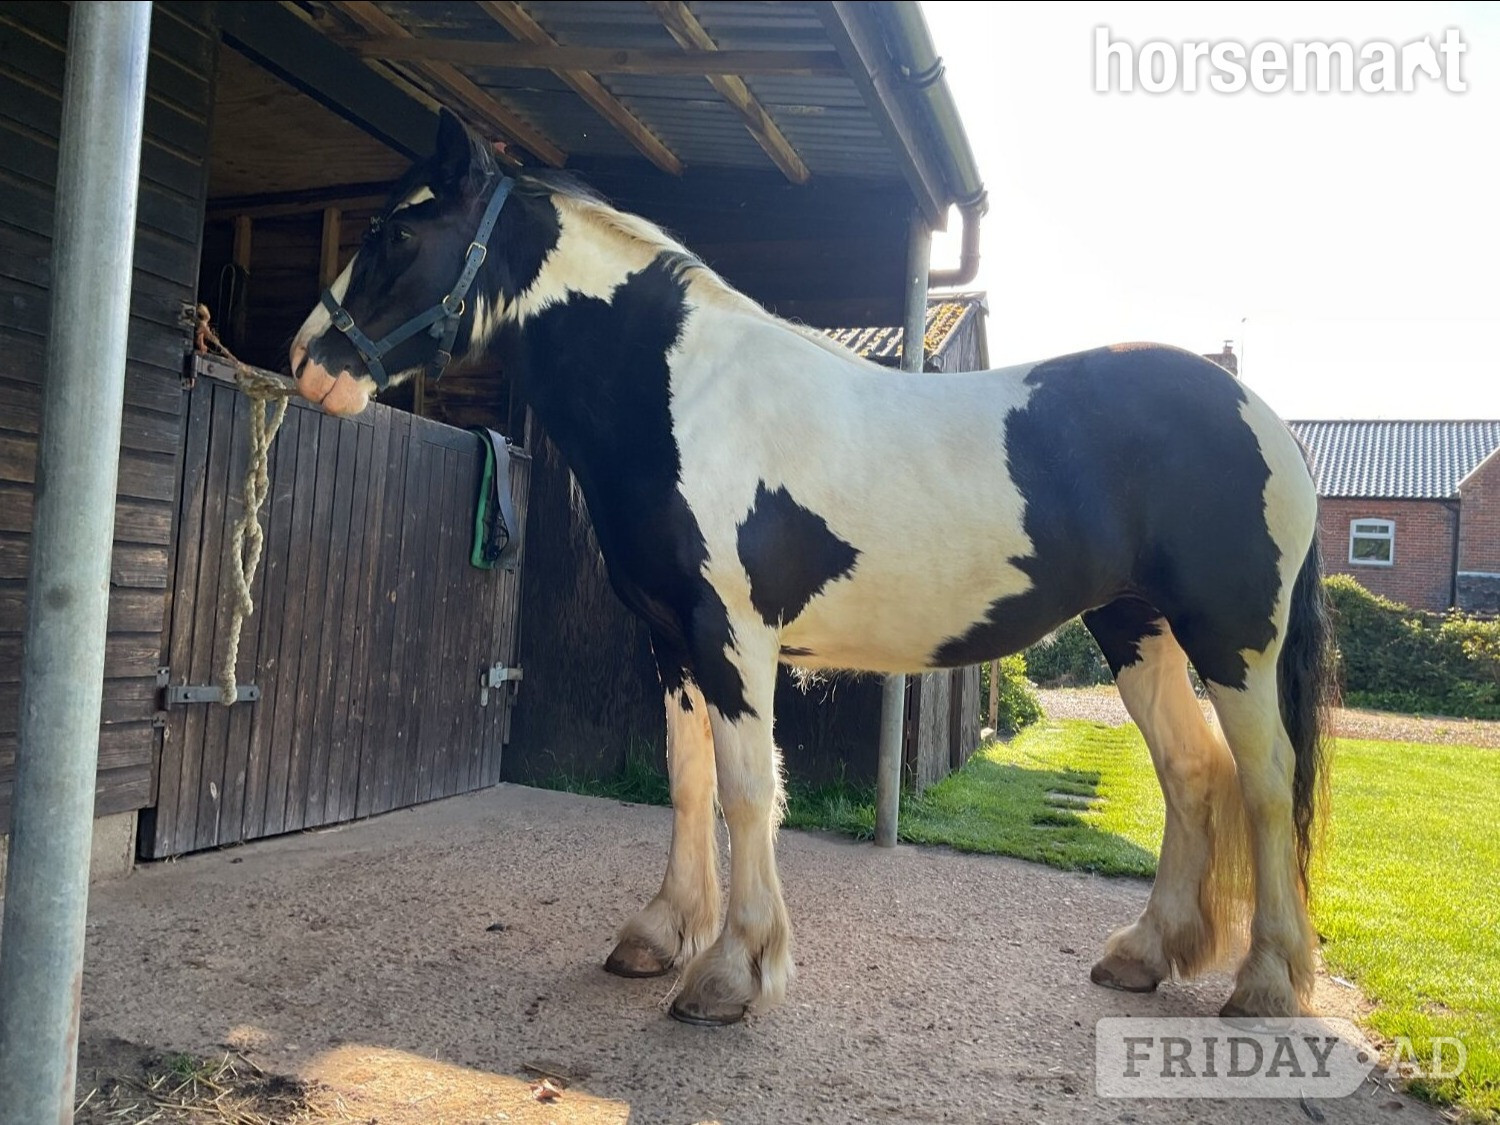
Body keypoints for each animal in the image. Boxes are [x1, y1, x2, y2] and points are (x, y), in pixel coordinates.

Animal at [290, 109, 1334, 1027]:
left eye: (398, 230)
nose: (309, 362)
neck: (686, 395)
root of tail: (1262, 414)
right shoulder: (670, 638)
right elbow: (689, 781)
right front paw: (660, 934)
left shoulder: (732, 633)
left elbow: (750, 789)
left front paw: (729, 973)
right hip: (1135, 627)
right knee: (1191, 770)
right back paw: (1145, 954)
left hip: (1232, 641)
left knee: (1266, 780)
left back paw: (1268, 982)